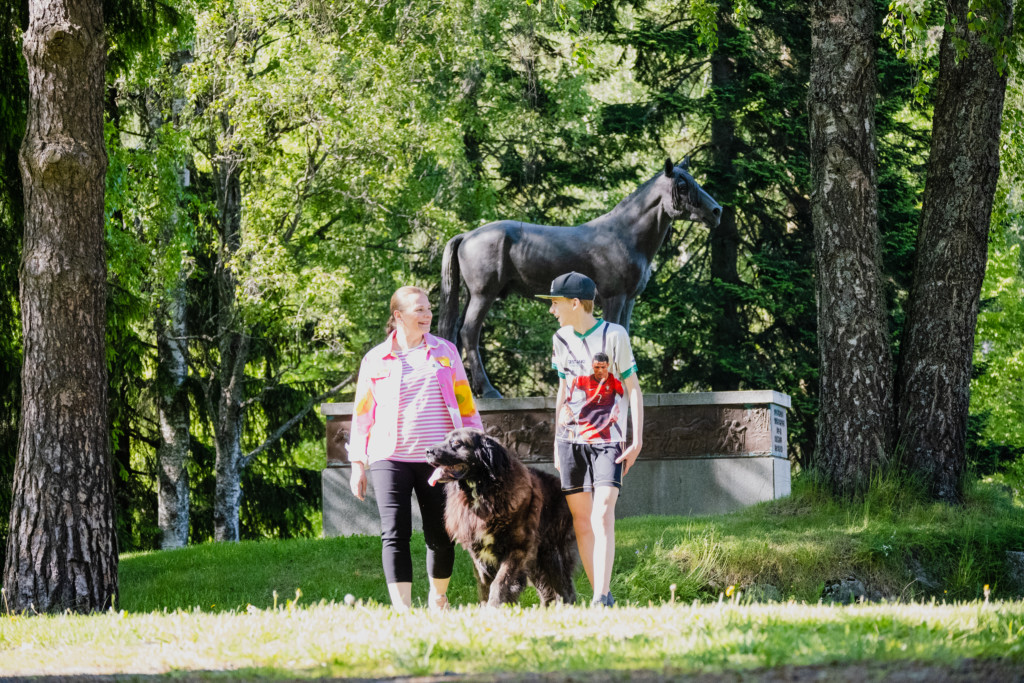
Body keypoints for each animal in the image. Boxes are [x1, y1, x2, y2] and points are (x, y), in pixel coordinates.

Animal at [423, 430, 577, 606]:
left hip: (552, 555)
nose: (427, 450)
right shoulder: (479, 554)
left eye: (457, 443)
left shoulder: (517, 549)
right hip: (537, 562)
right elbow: (485, 585)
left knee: (564, 589)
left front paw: (495, 605)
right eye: (444, 439)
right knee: (548, 591)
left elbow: (500, 582)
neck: (482, 492)